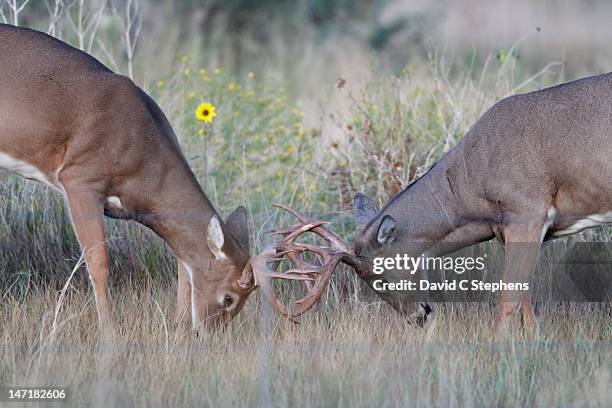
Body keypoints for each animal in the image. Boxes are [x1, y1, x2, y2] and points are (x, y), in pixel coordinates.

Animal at [0, 24, 256, 332]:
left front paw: (177, 325)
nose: (208, 332)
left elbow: (183, 263)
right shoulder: (80, 179)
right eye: (229, 298)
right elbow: (98, 262)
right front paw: (108, 331)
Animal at [246, 72, 612, 338]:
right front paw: (532, 345)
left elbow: (507, 298)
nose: (418, 316)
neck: (474, 180)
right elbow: (525, 304)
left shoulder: (527, 211)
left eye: (378, 278)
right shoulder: (511, 229)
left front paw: (497, 354)